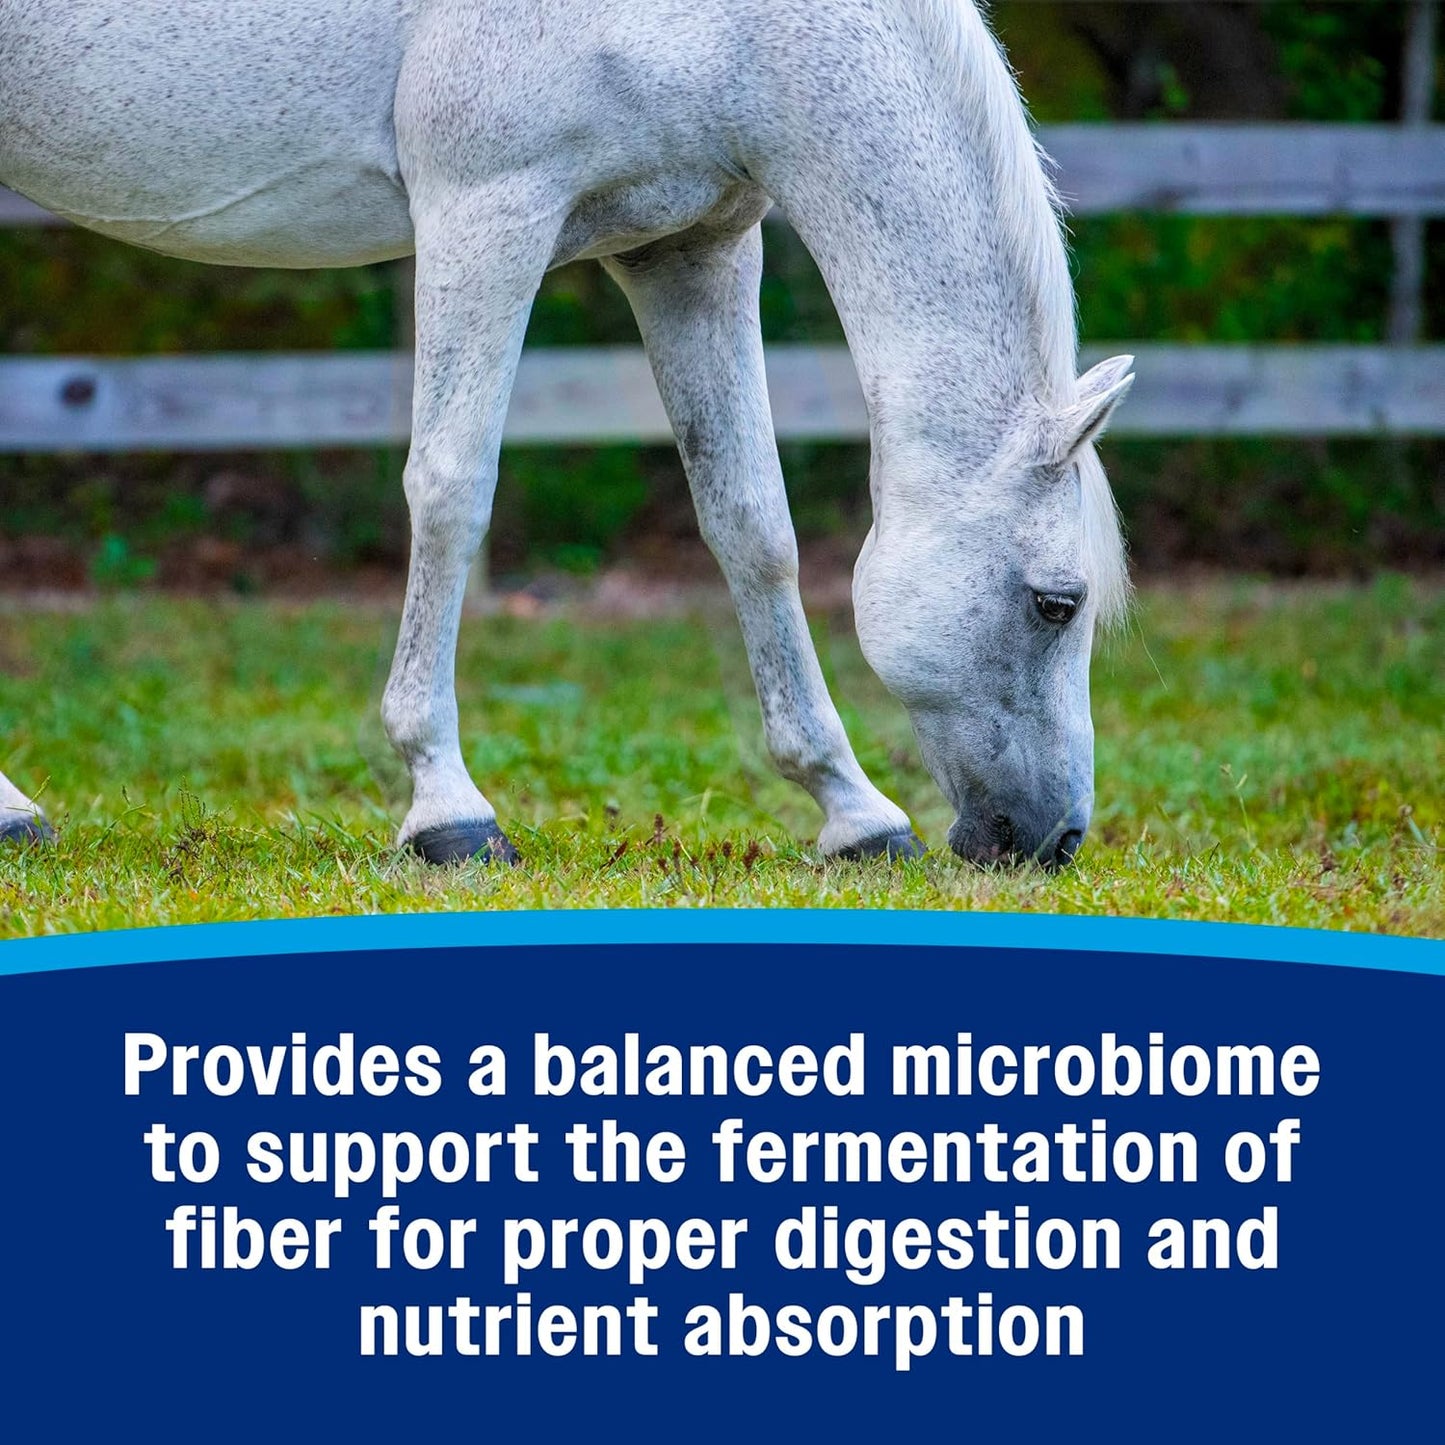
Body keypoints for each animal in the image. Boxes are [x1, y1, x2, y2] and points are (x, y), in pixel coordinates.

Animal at [0, 0, 1133, 868]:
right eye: (1054, 602)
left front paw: (852, 811)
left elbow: (749, 526)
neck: (743, 26)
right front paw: (447, 809)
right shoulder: (486, 209)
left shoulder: (691, 248)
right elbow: (450, 492)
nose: (1054, 839)